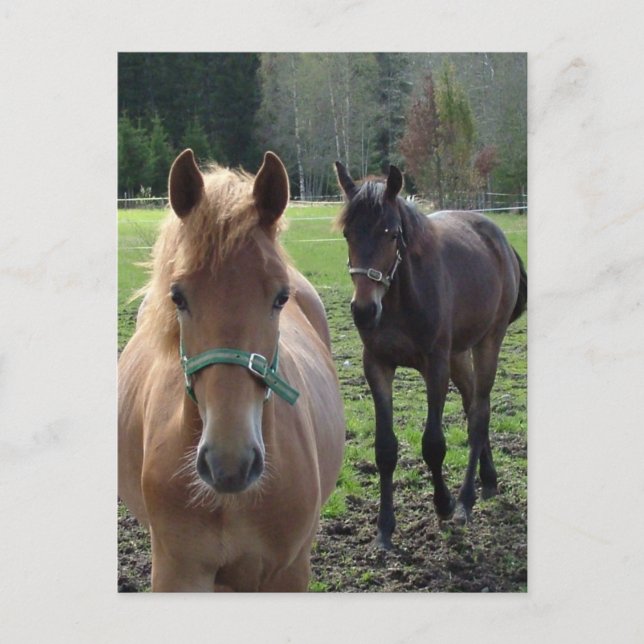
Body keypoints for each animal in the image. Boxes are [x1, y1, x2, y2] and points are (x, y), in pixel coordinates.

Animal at [334, 162, 527, 549]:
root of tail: (502, 242)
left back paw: (466, 500)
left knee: (480, 413)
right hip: (459, 354)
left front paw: (443, 503)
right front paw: (384, 529)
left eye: (392, 234)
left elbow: (433, 443)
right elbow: (385, 449)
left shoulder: (435, 365)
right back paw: (489, 480)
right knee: (471, 406)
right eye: (348, 233)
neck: (399, 300)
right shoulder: (377, 365)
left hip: (488, 342)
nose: (363, 310)